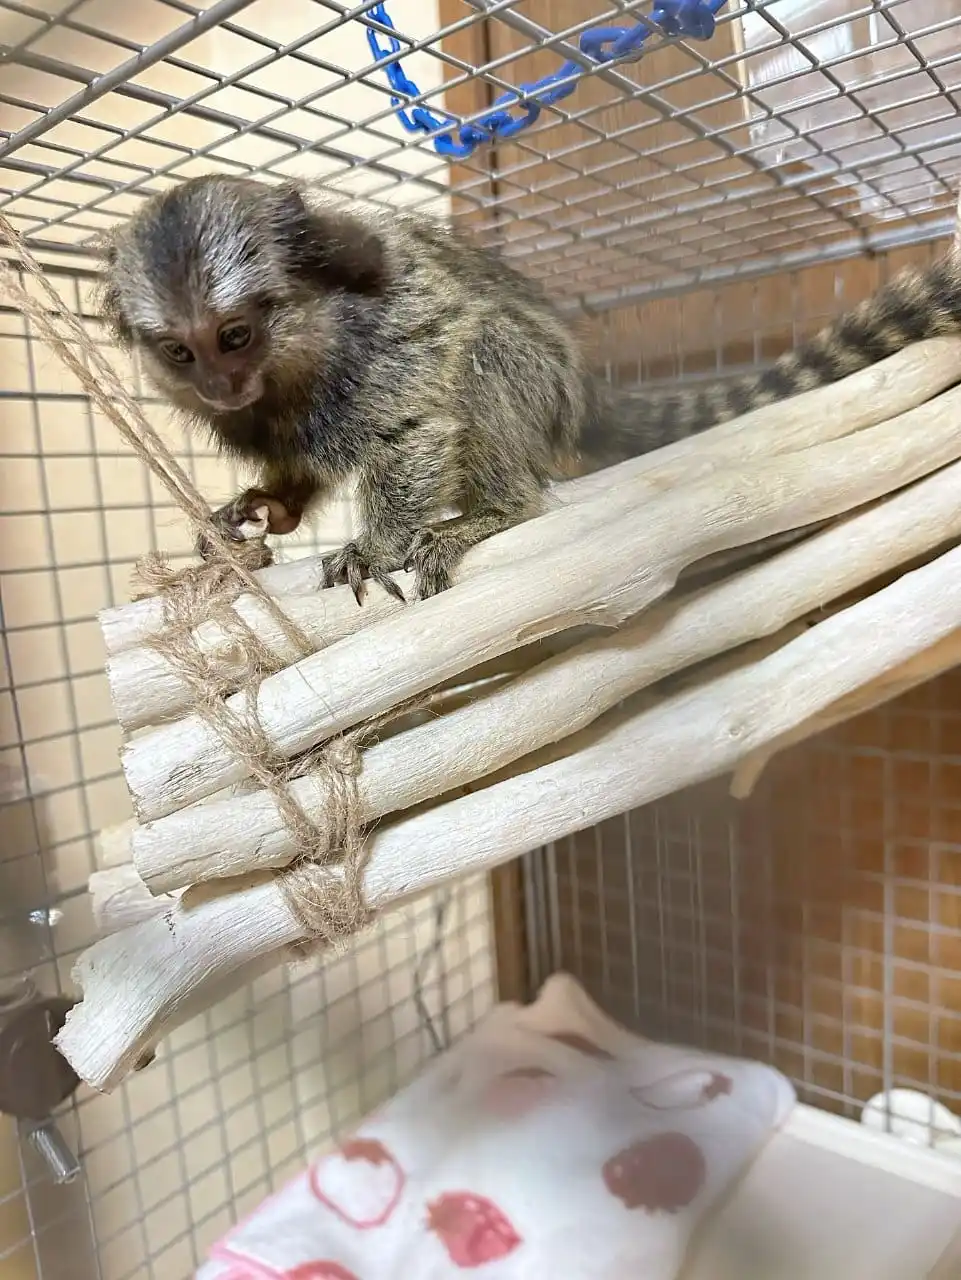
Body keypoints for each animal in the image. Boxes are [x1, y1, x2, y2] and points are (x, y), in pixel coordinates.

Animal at [97, 173, 961, 605]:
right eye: (179, 352)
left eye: (235, 337)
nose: (220, 383)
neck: (289, 376)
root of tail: (584, 390)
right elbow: (290, 476)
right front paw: (264, 508)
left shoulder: (381, 338)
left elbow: (417, 420)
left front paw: (375, 545)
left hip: (541, 385)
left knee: (487, 350)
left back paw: (495, 511)